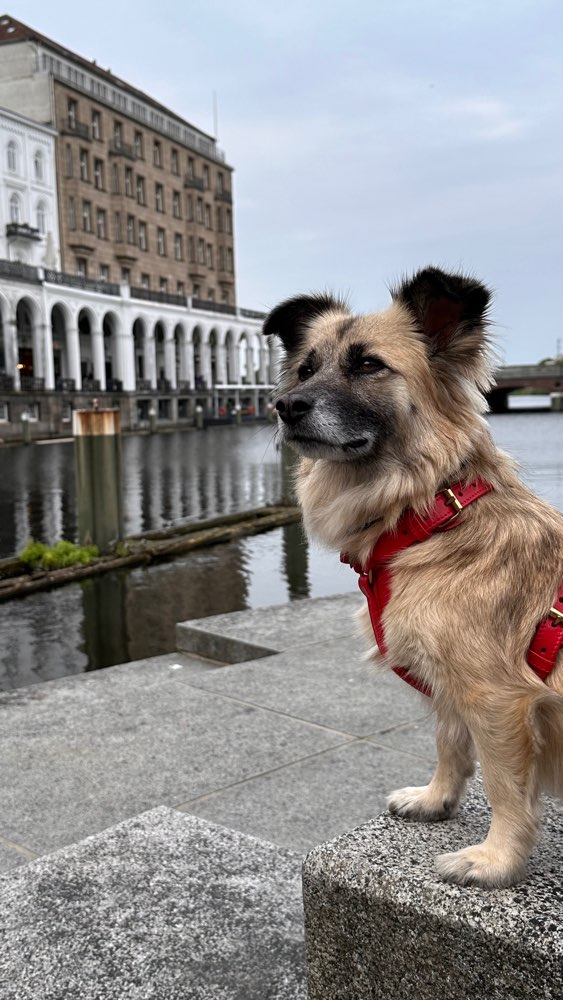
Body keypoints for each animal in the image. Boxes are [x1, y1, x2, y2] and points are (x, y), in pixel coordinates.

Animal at [264, 268, 563, 892]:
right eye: (305, 369)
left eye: (368, 365)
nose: (285, 405)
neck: (428, 515)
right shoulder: (448, 682)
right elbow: (449, 743)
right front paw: (435, 800)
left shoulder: (496, 697)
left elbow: (505, 787)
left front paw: (496, 861)